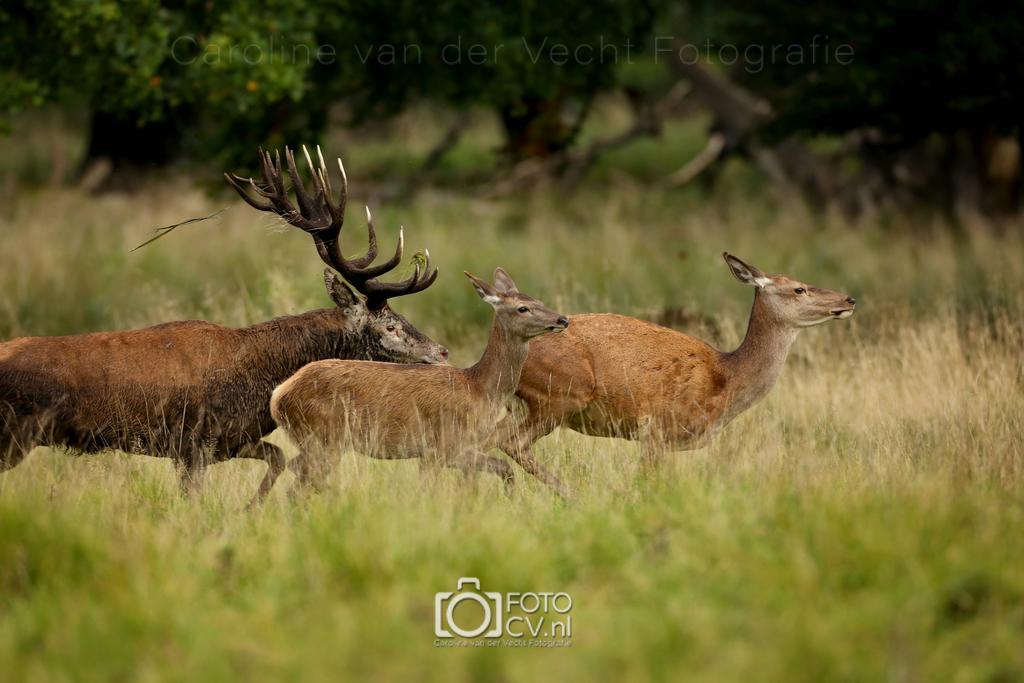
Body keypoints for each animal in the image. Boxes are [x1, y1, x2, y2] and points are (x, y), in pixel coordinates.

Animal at [0, 146, 448, 505]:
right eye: (389, 326)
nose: (441, 351)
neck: (259, 378)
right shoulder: (192, 443)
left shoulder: (227, 441)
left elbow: (278, 459)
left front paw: (251, 508)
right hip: (14, 433)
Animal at [270, 268, 569, 492]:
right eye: (523, 308)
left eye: (540, 302)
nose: (562, 319)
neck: (479, 389)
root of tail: (279, 395)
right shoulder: (442, 445)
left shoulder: (455, 450)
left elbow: (505, 468)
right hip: (323, 437)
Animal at [497, 253, 857, 497]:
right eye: (799, 289)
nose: (849, 299)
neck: (726, 381)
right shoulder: (657, 427)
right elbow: (646, 483)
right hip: (562, 393)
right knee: (512, 441)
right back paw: (571, 495)